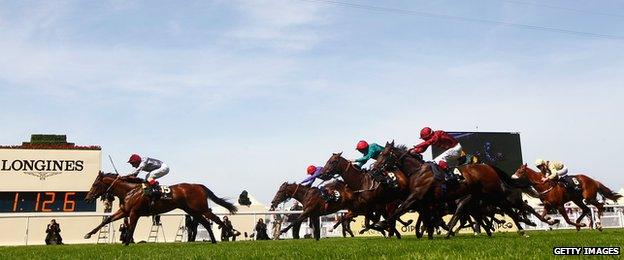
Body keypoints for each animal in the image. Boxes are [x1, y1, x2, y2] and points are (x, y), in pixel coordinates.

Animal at [84, 173, 238, 244]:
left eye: (95, 184)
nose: (86, 198)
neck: (130, 191)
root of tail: (198, 185)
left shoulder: (134, 213)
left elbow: (131, 228)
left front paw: (127, 243)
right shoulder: (124, 211)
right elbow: (107, 220)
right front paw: (88, 234)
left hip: (201, 209)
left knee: (216, 219)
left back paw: (230, 233)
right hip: (192, 211)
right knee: (206, 223)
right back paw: (213, 241)